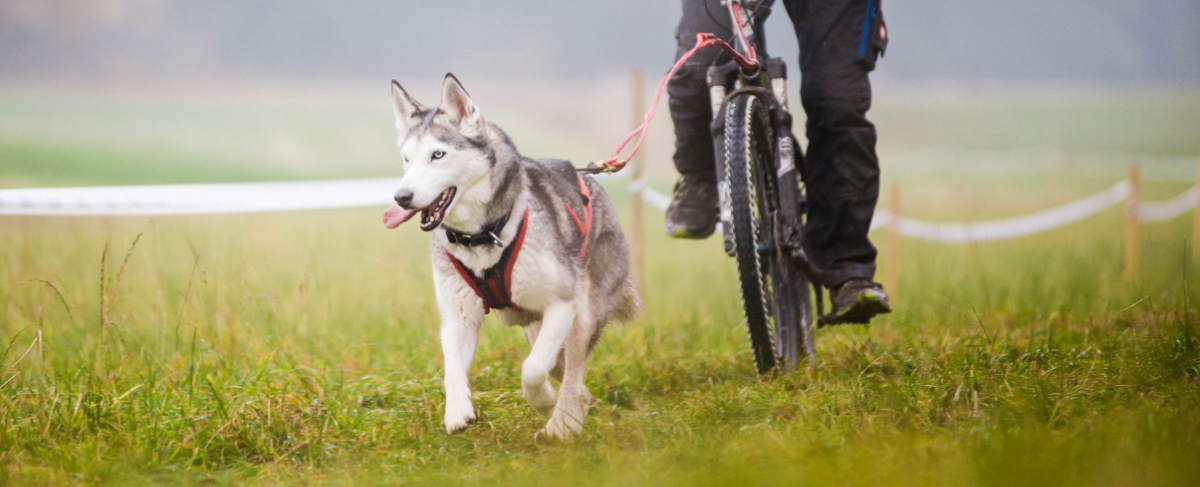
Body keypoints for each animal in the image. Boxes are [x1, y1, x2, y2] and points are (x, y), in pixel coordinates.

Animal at [384, 74, 643, 439]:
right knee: (570, 376)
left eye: (438, 154)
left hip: (583, 314)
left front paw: (545, 403)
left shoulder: (562, 304)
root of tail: (590, 178)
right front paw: (457, 411)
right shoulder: (458, 317)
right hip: (534, 327)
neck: (481, 235)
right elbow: (452, 370)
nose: (401, 197)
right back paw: (573, 415)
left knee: (571, 371)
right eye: (407, 158)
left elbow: (531, 369)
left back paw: (561, 425)